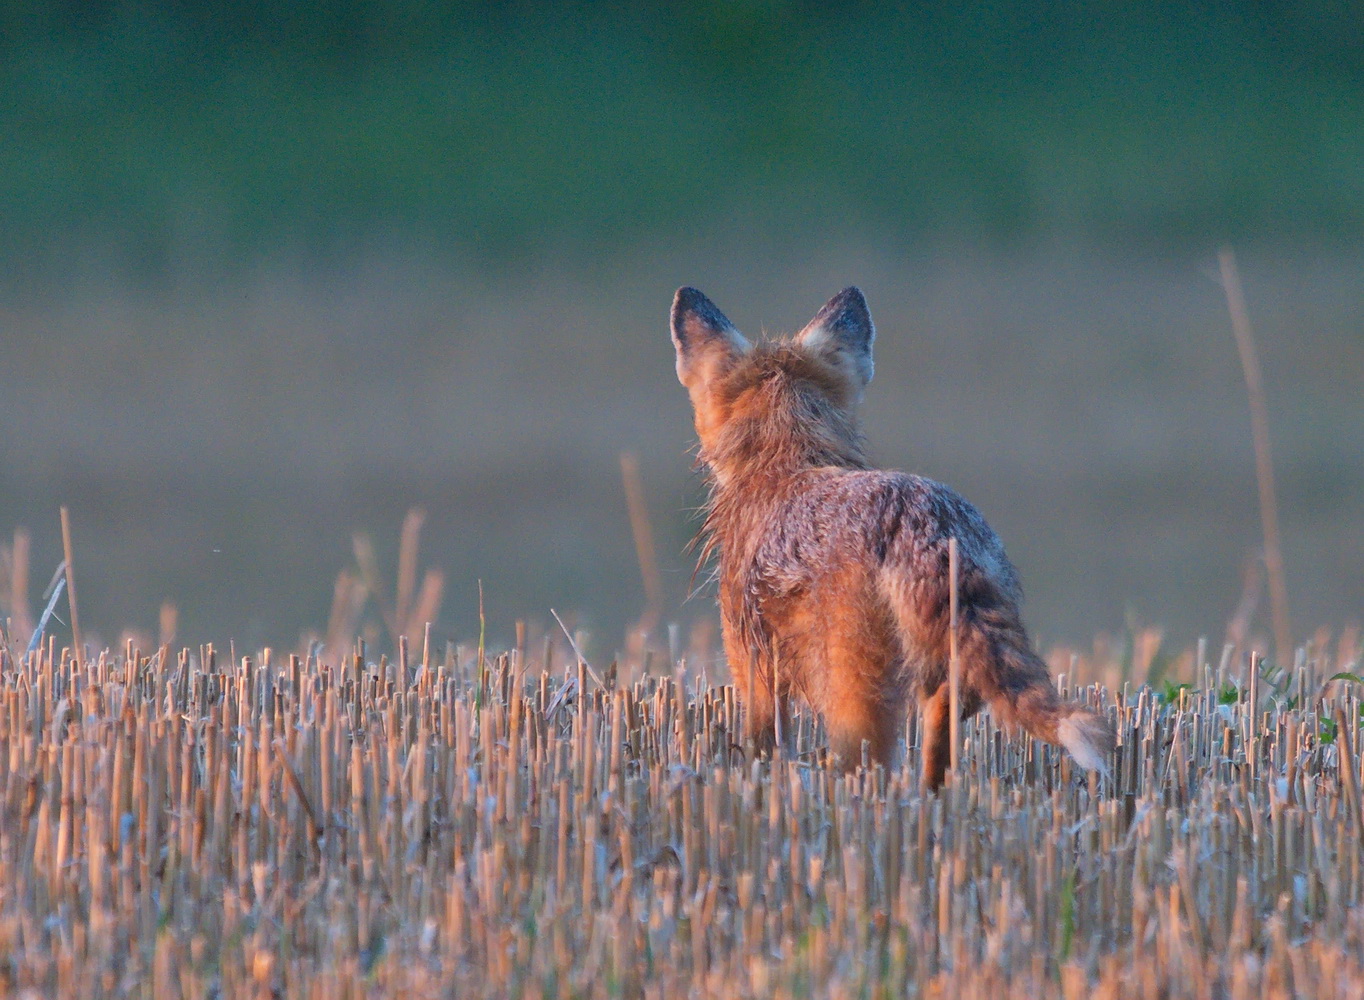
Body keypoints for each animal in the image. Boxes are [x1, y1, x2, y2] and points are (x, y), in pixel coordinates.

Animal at [668, 286, 1107, 785]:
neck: (787, 462)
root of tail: (929, 521)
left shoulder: (753, 664)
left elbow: (763, 749)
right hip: (946, 674)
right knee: (940, 738)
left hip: (853, 699)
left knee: (863, 762)